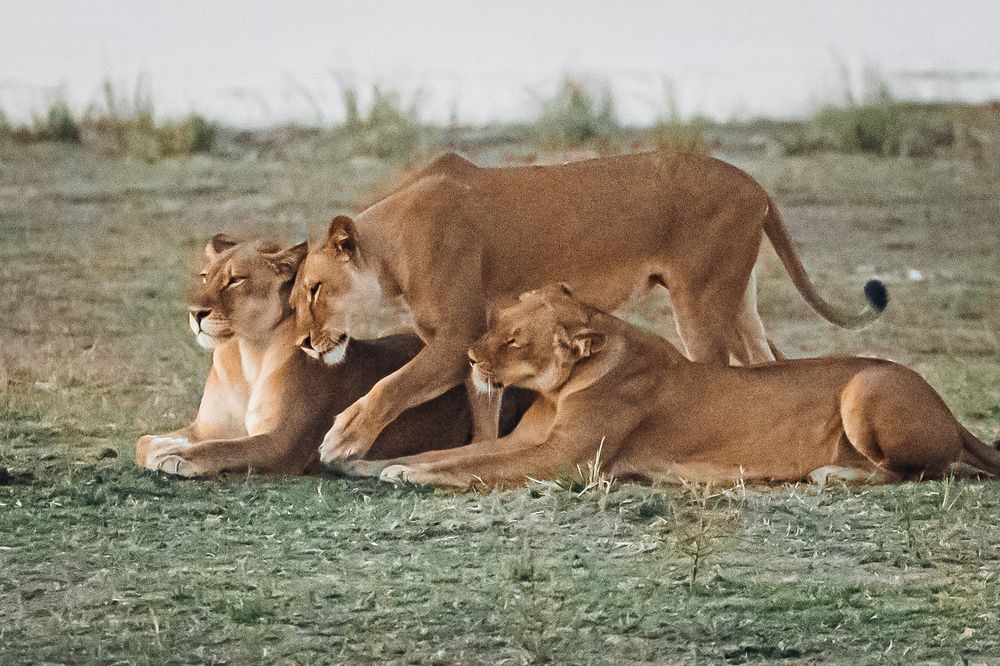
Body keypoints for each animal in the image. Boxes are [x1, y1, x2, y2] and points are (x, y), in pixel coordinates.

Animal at [135, 234, 529, 477]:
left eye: (236, 280)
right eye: (205, 276)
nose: (195, 313)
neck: (243, 355)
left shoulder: (284, 443)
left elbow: (221, 450)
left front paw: (176, 457)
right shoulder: (206, 428)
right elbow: (143, 441)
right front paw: (163, 446)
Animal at [295, 150, 887, 464]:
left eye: (314, 290)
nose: (303, 343)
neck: (391, 248)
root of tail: (756, 183)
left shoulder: (457, 335)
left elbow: (390, 387)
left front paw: (343, 439)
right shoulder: (473, 345)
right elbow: (483, 409)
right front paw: (482, 451)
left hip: (700, 298)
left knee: (716, 371)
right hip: (737, 298)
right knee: (765, 363)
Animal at [352, 284, 998, 489]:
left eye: (513, 341)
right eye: (498, 318)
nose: (467, 353)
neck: (565, 385)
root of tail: (950, 412)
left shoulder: (569, 461)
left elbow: (473, 467)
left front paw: (405, 474)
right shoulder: (527, 441)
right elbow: (455, 453)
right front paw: (366, 463)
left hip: (866, 384)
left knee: (918, 472)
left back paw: (831, 474)